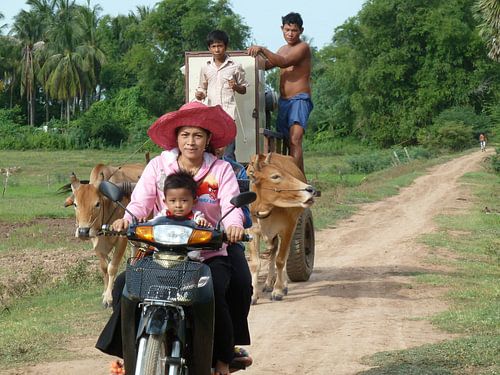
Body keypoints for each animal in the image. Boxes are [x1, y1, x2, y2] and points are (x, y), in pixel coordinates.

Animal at [65, 164, 144, 308]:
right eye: (75, 204)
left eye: (97, 204)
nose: (83, 231)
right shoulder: (96, 240)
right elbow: (104, 267)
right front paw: (105, 292)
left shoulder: (121, 238)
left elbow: (112, 267)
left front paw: (108, 298)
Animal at [246, 154, 316, 304]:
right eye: (275, 176)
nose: (310, 189)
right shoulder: (252, 231)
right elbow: (255, 264)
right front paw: (253, 295)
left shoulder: (288, 228)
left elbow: (281, 260)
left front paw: (278, 291)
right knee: (273, 251)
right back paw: (268, 284)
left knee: (285, 253)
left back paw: (283, 285)